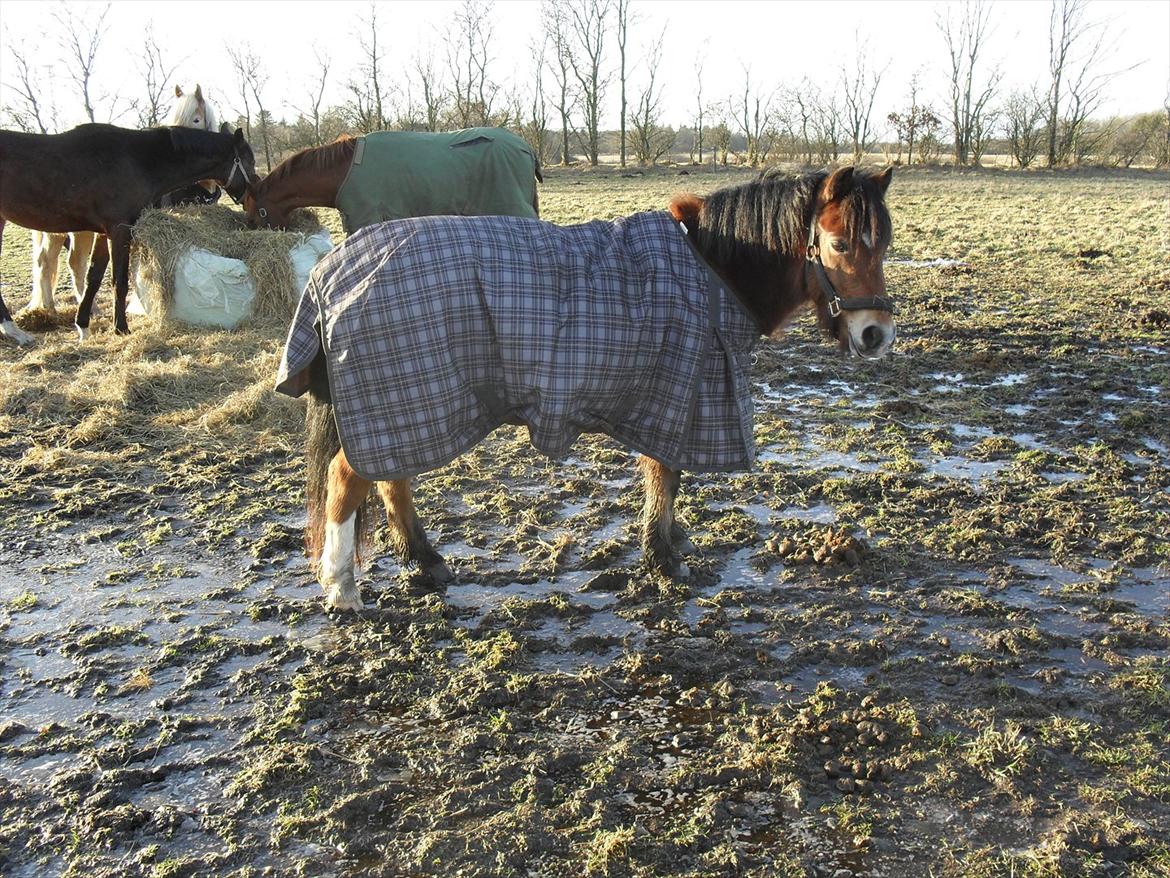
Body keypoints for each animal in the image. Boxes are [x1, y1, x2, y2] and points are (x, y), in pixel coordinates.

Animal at [0, 124, 257, 344]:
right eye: (249, 161)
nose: (251, 195)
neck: (137, 160)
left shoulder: (104, 233)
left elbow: (94, 278)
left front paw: (83, 326)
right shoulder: (120, 230)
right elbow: (119, 281)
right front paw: (121, 327)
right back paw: (15, 331)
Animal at [23, 84, 221, 327]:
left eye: (196, 119)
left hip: (59, 230)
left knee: (47, 261)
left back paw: (52, 309)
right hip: (76, 230)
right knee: (70, 262)